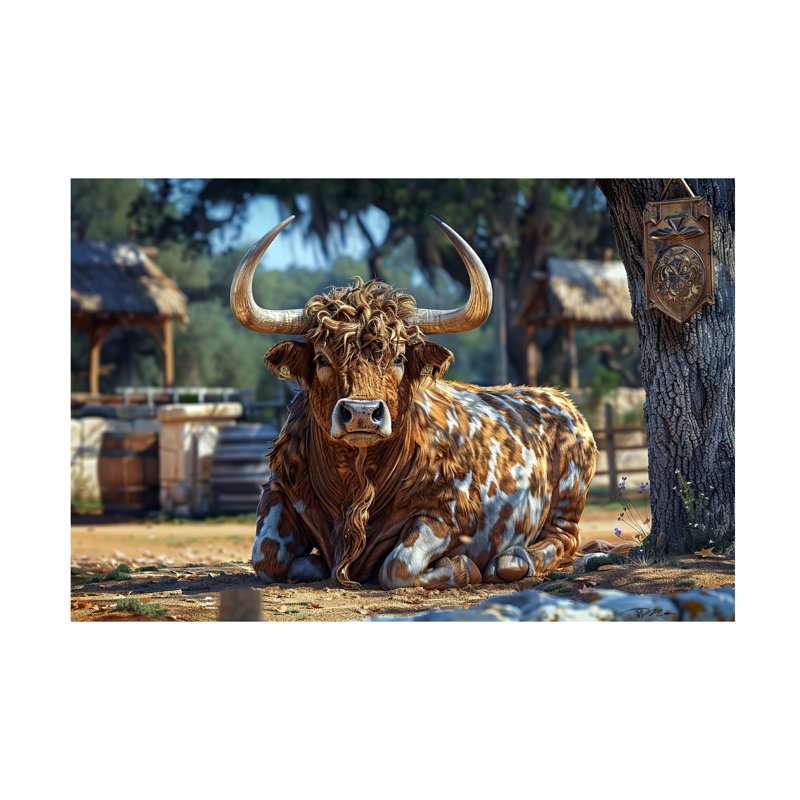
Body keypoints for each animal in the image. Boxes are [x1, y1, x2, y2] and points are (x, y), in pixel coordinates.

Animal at [230, 215, 597, 590]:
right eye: (321, 359)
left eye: (398, 357)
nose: (361, 413)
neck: (356, 487)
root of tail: (560, 400)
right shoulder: (278, 489)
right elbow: (266, 558)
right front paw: (315, 562)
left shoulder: (449, 513)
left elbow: (398, 566)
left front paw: (464, 566)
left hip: (568, 502)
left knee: (564, 540)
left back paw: (513, 560)